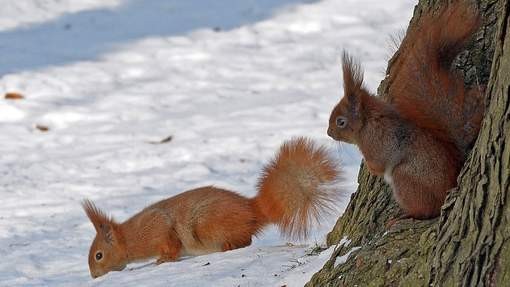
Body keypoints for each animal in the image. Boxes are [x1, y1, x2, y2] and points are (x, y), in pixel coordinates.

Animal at [82, 137, 342, 280]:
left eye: (98, 255)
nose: (93, 276)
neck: (131, 237)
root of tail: (252, 209)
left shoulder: (158, 227)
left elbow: (171, 246)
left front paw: (163, 260)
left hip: (208, 226)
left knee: (244, 241)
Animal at [326, 2, 482, 219]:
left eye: (340, 122)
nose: (328, 133)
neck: (367, 123)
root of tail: (446, 189)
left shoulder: (376, 142)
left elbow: (379, 163)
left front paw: (370, 168)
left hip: (405, 180)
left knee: (426, 210)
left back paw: (405, 215)